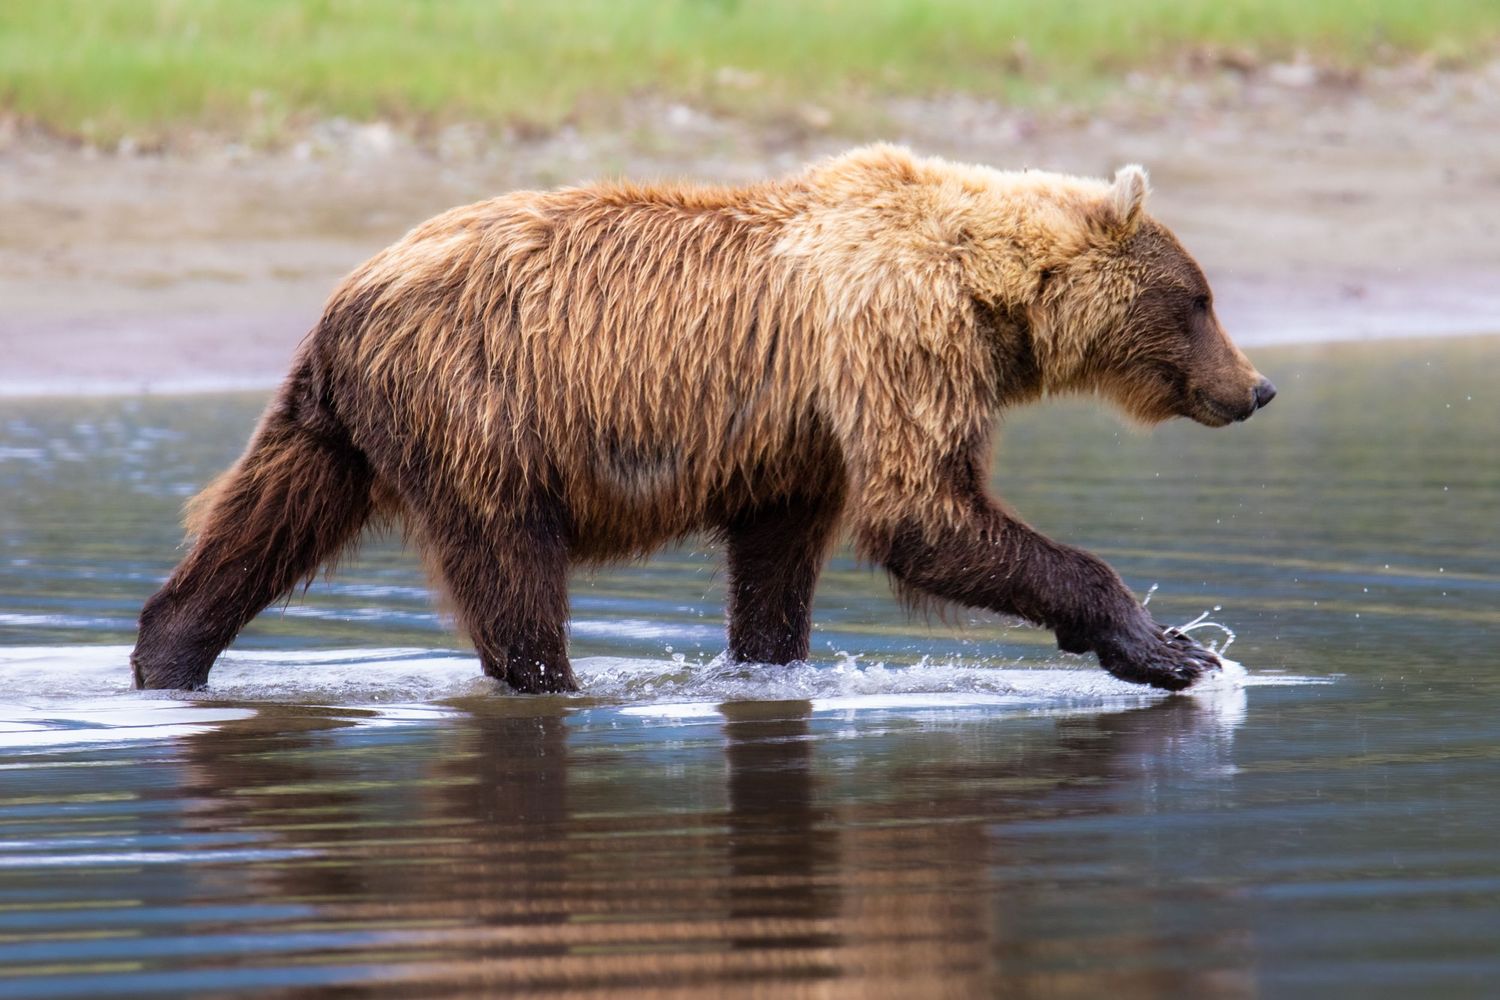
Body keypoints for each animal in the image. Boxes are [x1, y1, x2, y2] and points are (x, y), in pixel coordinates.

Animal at [131, 145, 1275, 695]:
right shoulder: (893, 344)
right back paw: (554, 681)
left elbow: (776, 562)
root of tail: (347, 295)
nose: (1255, 387)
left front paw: (766, 662)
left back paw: (167, 653)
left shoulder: (800, 435)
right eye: (1202, 298)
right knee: (510, 573)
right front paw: (1169, 647)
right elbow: (923, 510)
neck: (980, 290)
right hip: (479, 409)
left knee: (261, 526)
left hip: (336, 424)